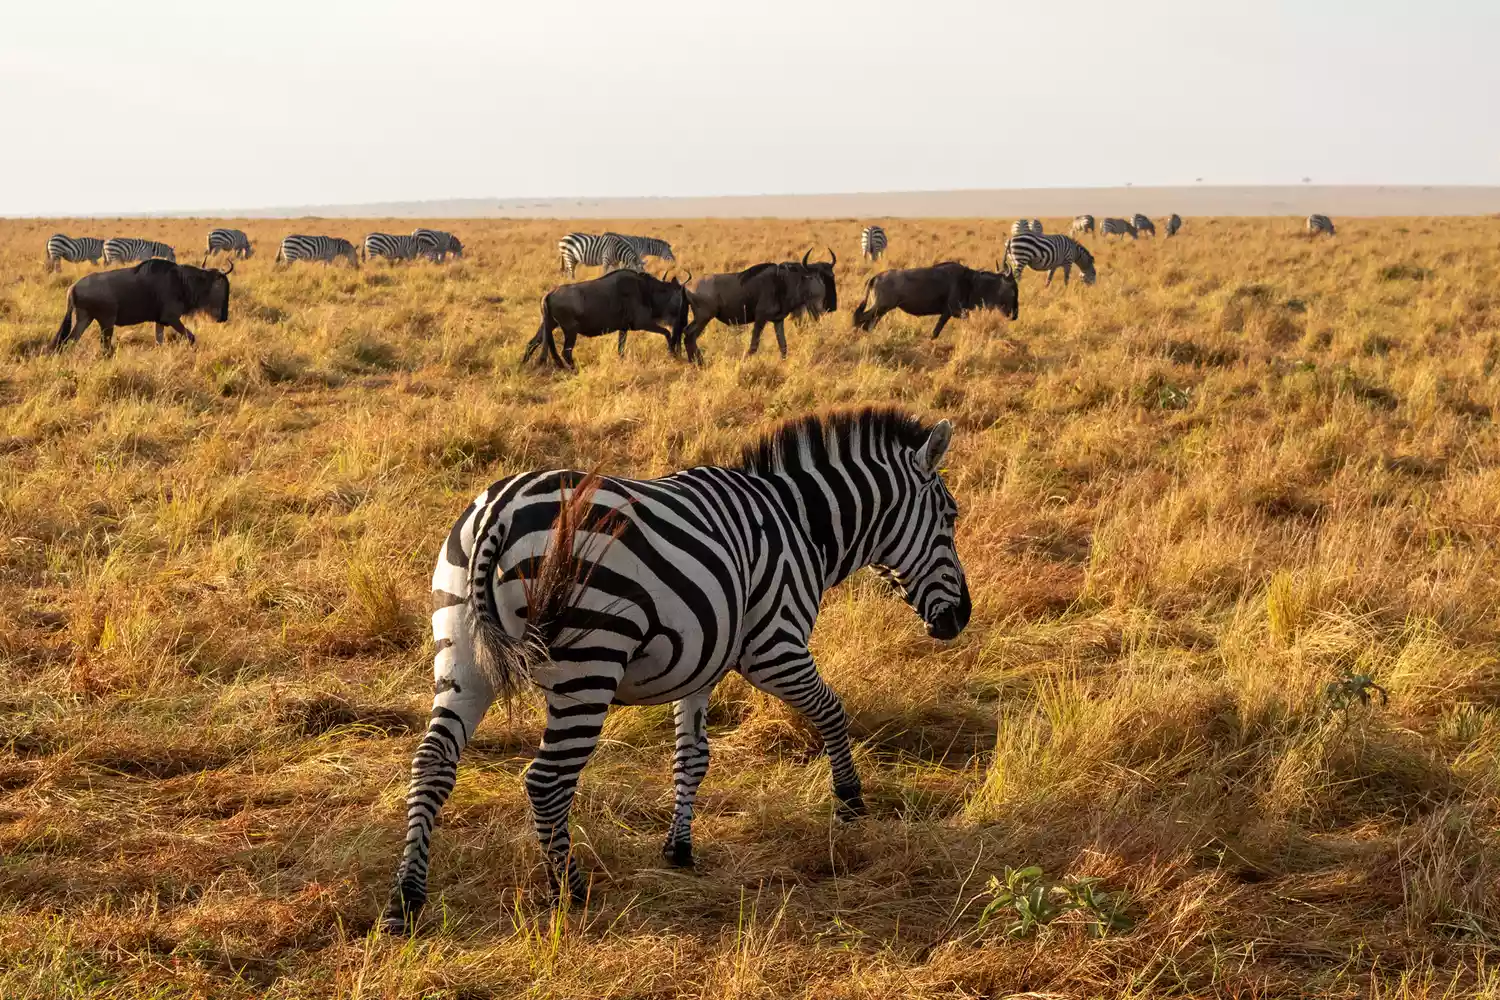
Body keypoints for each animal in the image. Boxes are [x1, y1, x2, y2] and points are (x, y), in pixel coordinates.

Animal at [381, 407, 971, 931]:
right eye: (951, 518)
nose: (960, 618)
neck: (802, 525)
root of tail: (499, 511)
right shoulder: (773, 647)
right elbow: (832, 709)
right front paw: (850, 804)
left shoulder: (701, 662)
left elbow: (692, 757)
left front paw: (679, 846)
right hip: (590, 661)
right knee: (547, 780)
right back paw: (569, 890)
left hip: (461, 651)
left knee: (432, 763)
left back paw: (406, 901)